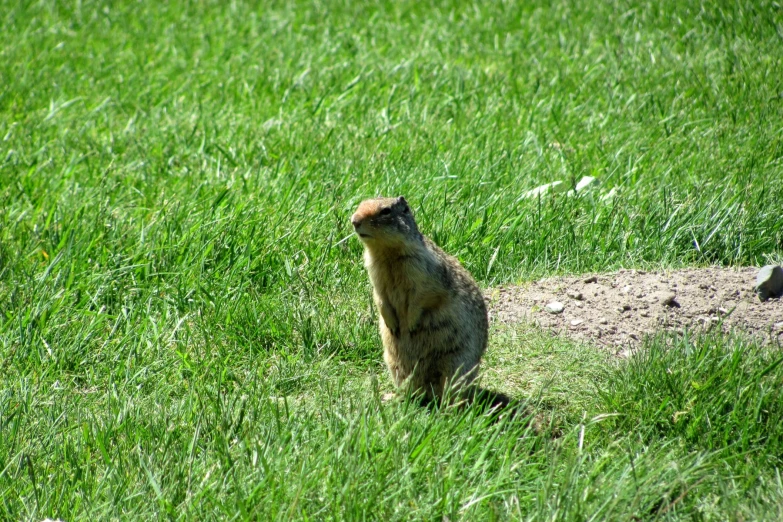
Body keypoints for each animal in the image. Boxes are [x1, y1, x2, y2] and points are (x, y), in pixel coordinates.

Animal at [350, 196, 486, 402]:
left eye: (385, 211)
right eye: (360, 204)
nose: (354, 220)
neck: (388, 254)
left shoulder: (424, 271)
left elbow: (422, 297)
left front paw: (411, 324)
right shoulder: (375, 274)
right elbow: (380, 297)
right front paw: (393, 324)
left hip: (457, 365)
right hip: (394, 363)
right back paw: (396, 397)